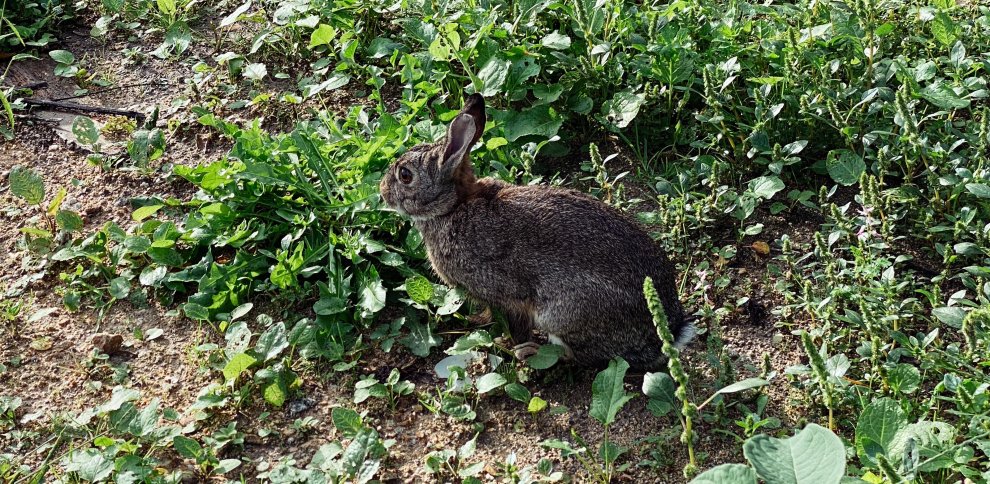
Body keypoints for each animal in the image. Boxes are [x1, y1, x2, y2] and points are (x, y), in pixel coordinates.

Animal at [380, 92, 696, 368]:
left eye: (405, 175)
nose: (382, 191)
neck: (454, 205)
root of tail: (666, 334)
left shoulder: (507, 296)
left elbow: (514, 324)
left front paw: (506, 343)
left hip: (560, 316)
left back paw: (531, 353)